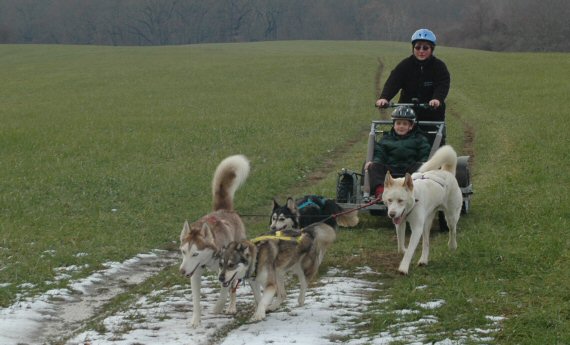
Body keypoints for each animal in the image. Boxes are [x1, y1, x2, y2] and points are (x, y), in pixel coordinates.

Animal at [382, 144, 462, 272]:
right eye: (389, 200)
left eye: (400, 200)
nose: (392, 214)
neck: (414, 200)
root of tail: (446, 172)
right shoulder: (400, 224)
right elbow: (401, 246)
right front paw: (404, 251)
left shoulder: (416, 228)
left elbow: (410, 251)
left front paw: (403, 268)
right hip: (426, 223)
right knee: (426, 243)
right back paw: (423, 260)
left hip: (450, 217)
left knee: (452, 230)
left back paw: (452, 245)